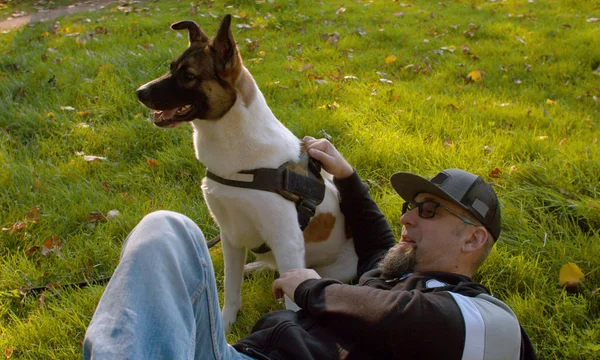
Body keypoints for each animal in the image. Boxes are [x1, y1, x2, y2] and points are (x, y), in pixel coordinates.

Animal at [137, 14, 356, 330]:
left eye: (188, 76)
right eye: (171, 67)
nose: (139, 92)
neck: (241, 161)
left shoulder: (287, 242)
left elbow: (292, 298)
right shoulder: (230, 236)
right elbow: (231, 288)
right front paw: (225, 323)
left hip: (334, 271)